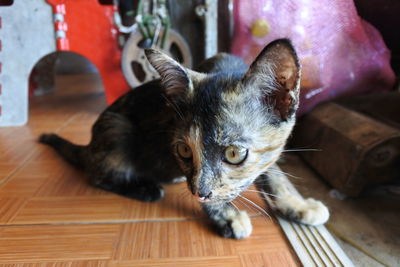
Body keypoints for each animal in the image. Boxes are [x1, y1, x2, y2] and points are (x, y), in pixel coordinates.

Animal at [39, 38, 330, 240]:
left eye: (234, 154)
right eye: (184, 151)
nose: (199, 192)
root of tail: (89, 146)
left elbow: (272, 170)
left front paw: (296, 203)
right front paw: (227, 215)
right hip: (117, 129)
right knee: (97, 175)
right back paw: (145, 188)